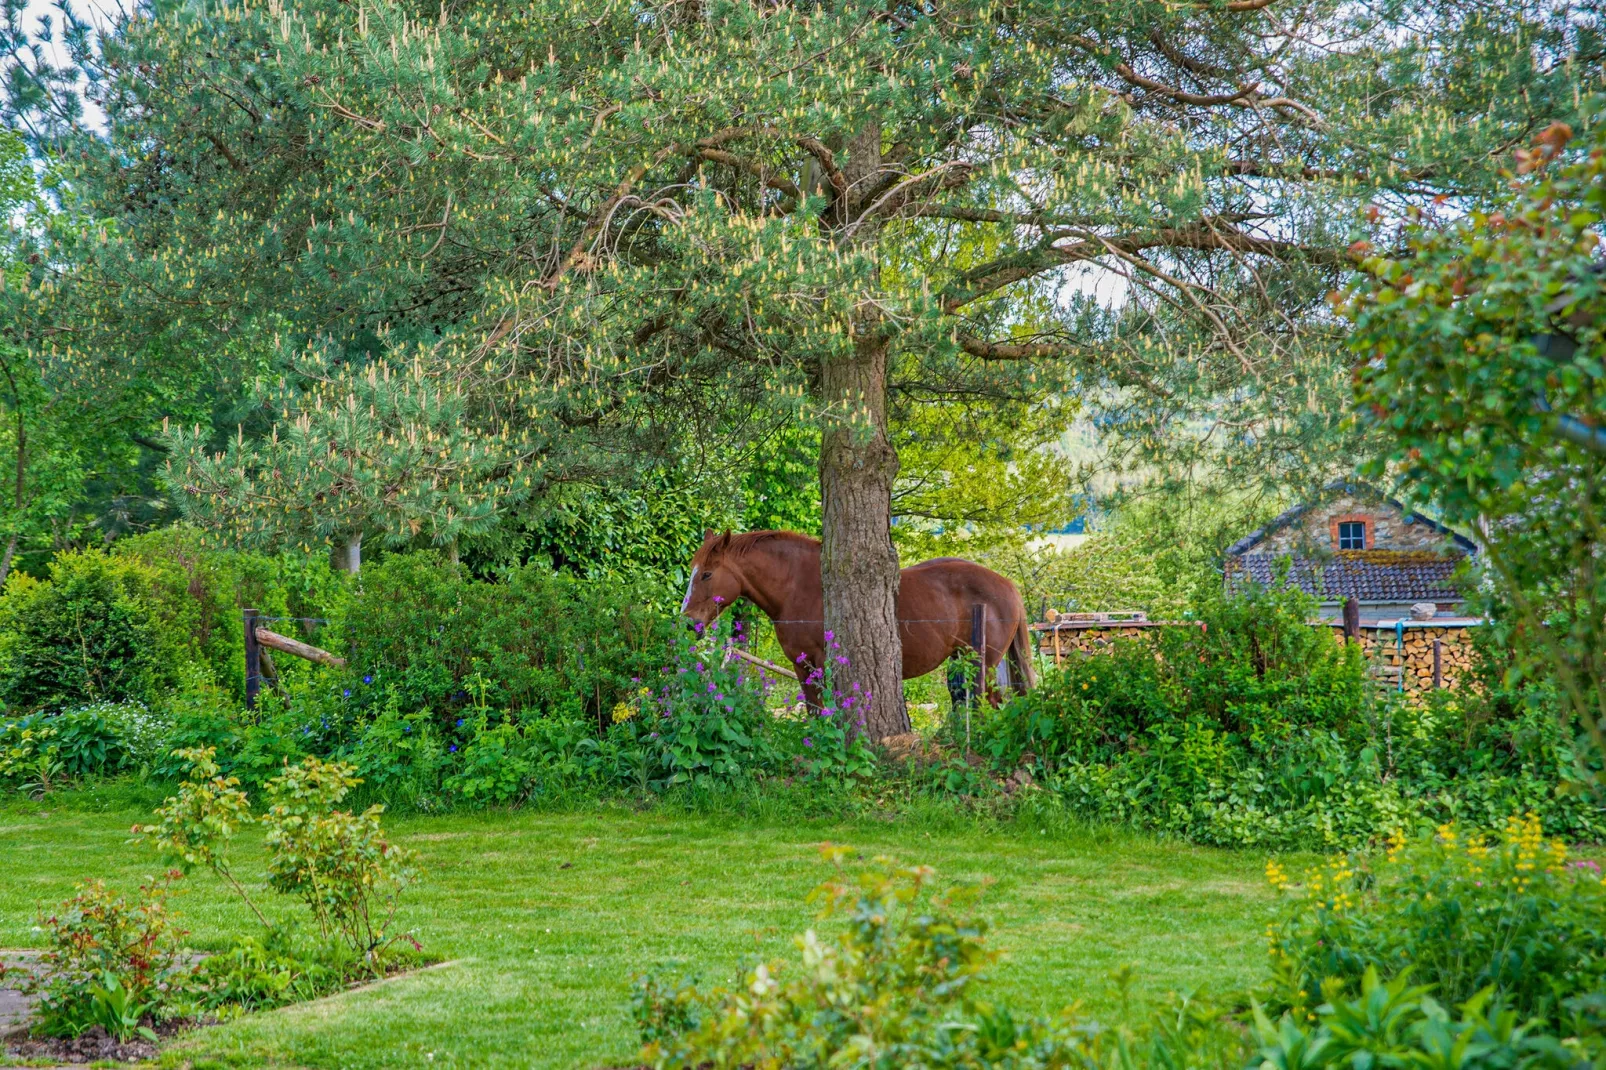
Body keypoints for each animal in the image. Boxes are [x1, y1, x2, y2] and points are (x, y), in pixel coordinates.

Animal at [674, 526, 1027, 706]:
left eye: (706, 574)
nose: (688, 621)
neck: (799, 586)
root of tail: (1009, 585)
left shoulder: (821, 662)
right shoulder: (801, 666)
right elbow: (813, 710)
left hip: (980, 663)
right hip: (962, 661)